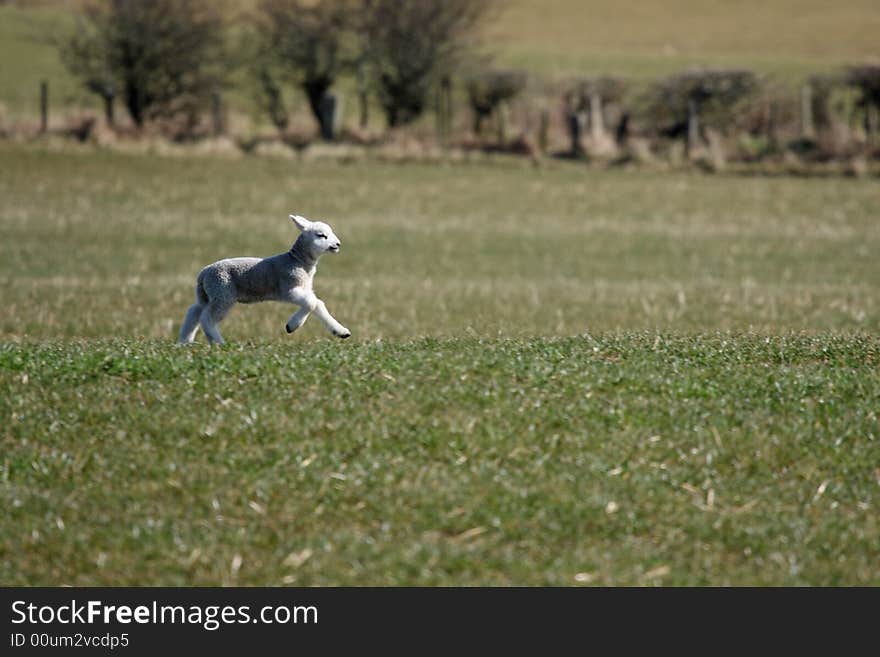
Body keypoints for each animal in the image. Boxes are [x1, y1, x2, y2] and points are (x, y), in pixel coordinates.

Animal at [178, 215, 350, 346]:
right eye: (321, 235)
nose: (338, 244)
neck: (297, 261)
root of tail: (203, 273)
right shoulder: (289, 286)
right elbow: (311, 303)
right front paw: (292, 326)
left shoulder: (304, 288)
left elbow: (317, 304)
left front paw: (341, 331)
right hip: (222, 293)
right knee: (206, 318)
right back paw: (219, 342)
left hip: (208, 294)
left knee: (194, 311)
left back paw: (185, 342)